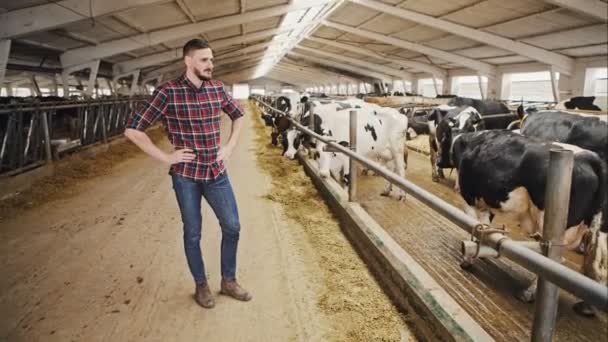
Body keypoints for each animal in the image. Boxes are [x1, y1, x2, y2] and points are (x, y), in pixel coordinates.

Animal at [436, 129, 608, 318]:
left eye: (442, 141)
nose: (437, 160)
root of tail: (590, 158)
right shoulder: (489, 203)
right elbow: (485, 228)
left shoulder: (469, 198)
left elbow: (473, 227)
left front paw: (467, 260)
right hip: (600, 231)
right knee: (598, 266)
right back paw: (586, 306)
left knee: (554, 260)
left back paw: (528, 293)